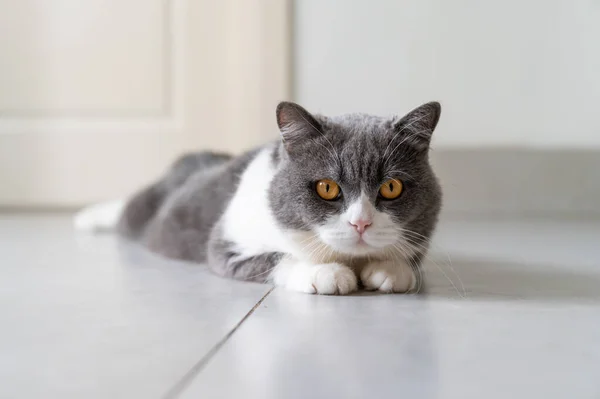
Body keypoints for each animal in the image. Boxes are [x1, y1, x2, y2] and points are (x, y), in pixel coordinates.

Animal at [74, 101, 440, 296]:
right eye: (327, 188)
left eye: (391, 188)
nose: (360, 223)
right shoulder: (227, 243)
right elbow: (278, 257)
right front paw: (326, 274)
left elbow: (409, 261)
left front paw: (391, 270)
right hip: (143, 211)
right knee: (124, 209)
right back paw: (86, 217)